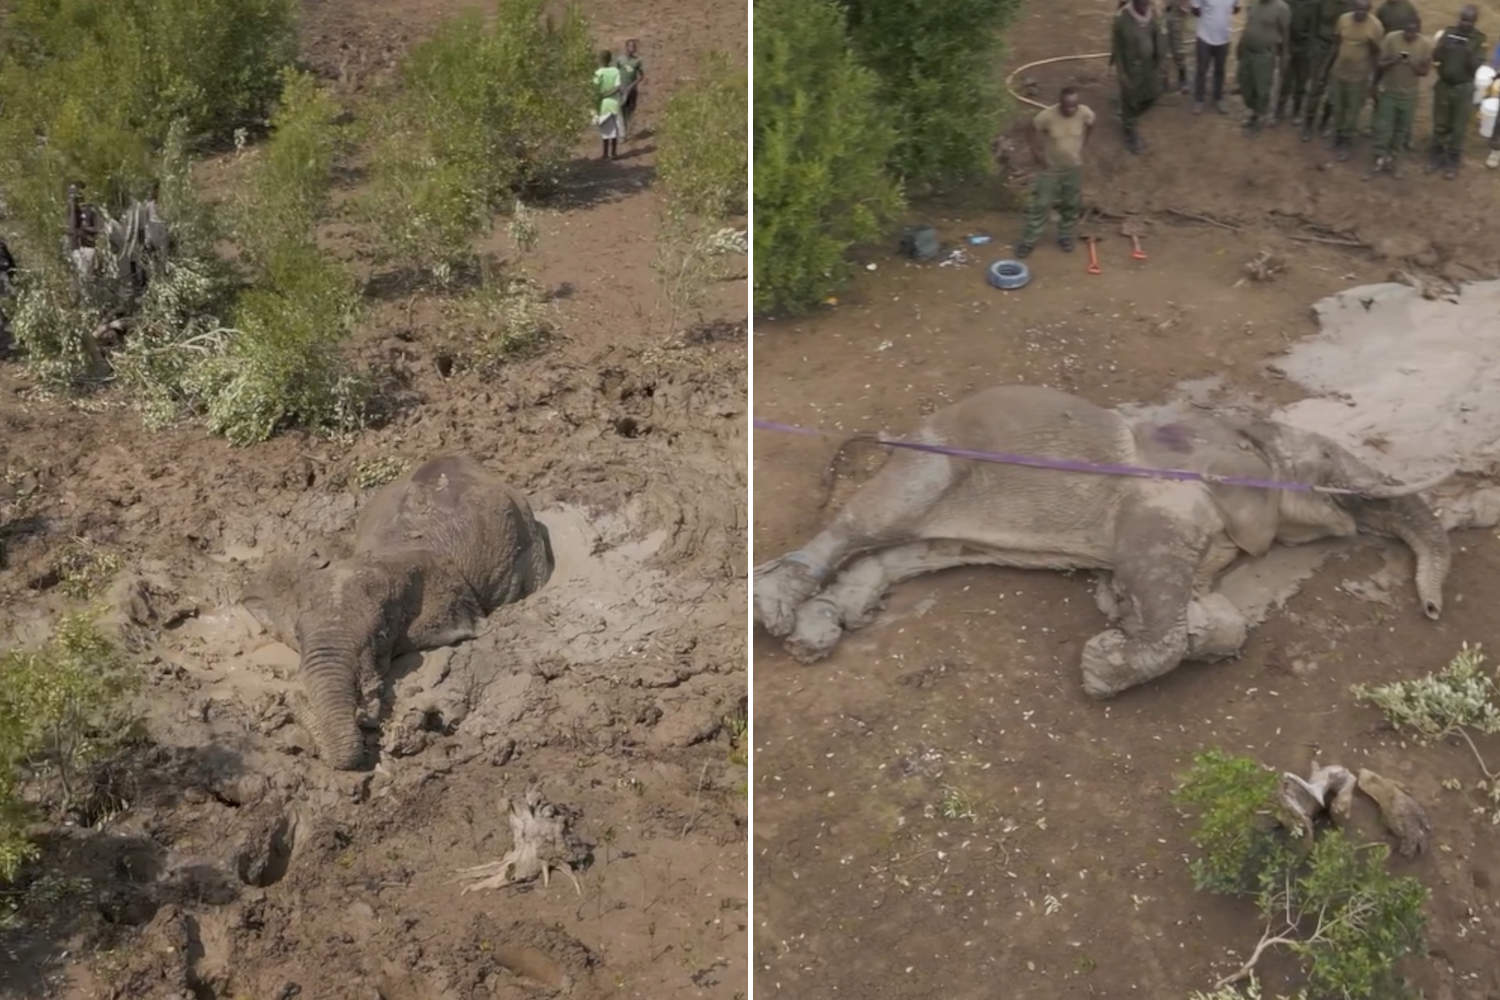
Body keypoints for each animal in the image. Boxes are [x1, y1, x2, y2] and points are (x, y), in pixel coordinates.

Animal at [754, 385, 1452, 698]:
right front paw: (1102, 663)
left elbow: (1218, 615)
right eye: (1328, 461)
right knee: (863, 525)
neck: (1234, 429)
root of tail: (896, 437)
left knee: (902, 555)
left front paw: (1154, 619)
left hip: (948, 527)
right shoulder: (1162, 493)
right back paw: (777, 611)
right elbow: (1151, 578)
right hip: (932, 465)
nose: (1431, 610)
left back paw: (819, 630)